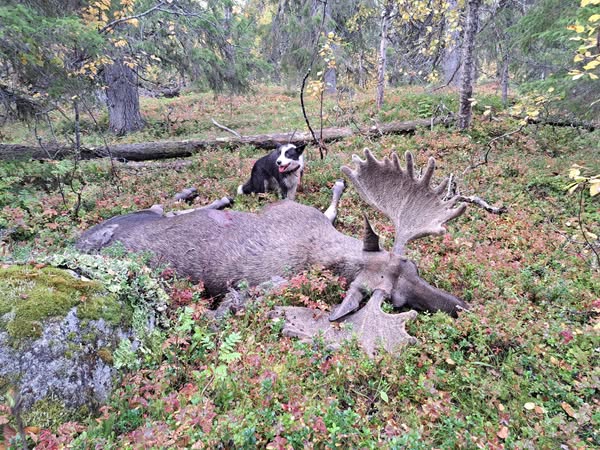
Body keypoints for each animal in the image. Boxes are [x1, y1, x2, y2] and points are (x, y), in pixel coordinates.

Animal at [77, 151, 468, 356]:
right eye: (395, 302)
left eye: (414, 266)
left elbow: (331, 208)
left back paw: (205, 196)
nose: (461, 307)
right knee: (161, 206)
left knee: (167, 206)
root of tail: (73, 244)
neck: (320, 249)